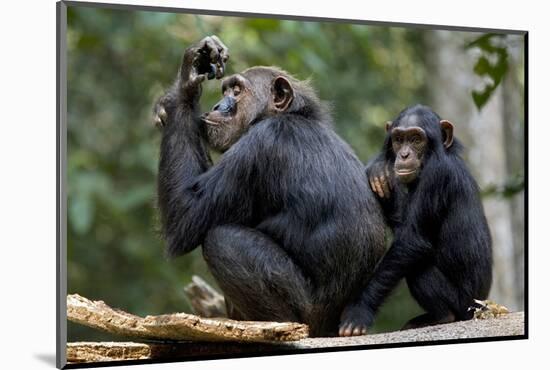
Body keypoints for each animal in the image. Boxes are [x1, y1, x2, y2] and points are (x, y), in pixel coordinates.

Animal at [153, 36, 386, 336]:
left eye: (237, 90)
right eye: (225, 89)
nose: (217, 106)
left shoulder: (258, 147)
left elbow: (185, 216)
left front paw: (186, 83)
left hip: (307, 314)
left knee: (223, 239)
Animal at [340, 104, 496, 336]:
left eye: (416, 139)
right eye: (398, 139)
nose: (404, 154)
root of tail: (483, 307)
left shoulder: (436, 176)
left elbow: (412, 238)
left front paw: (358, 311)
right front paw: (378, 170)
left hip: (463, 304)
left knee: (418, 267)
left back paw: (440, 316)